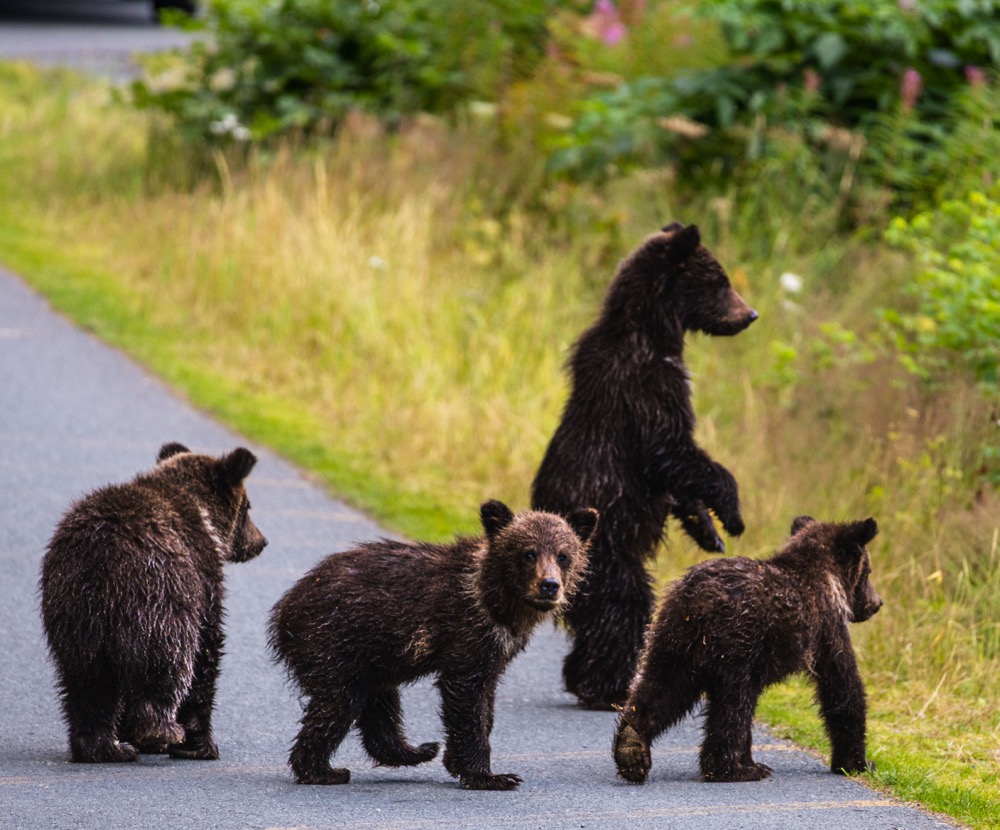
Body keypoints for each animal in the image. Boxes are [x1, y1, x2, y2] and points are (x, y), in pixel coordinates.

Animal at [39, 442, 268, 763]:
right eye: (248, 507)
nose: (261, 541)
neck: (204, 515)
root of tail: (99, 559)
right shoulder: (201, 577)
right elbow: (206, 652)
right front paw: (200, 744)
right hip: (157, 598)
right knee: (168, 662)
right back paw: (161, 731)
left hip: (73, 616)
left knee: (86, 683)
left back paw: (105, 747)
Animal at [267, 499, 597, 790]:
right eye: (528, 553)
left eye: (563, 555)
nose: (549, 585)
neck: (498, 603)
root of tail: (285, 606)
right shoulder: (466, 632)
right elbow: (466, 695)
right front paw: (491, 776)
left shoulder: (499, 647)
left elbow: (486, 697)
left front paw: (459, 759)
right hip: (332, 641)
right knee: (337, 703)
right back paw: (322, 770)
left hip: (370, 657)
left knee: (379, 707)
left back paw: (416, 750)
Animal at [531, 222, 758, 710]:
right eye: (720, 281)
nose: (750, 314)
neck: (653, 333)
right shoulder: (647, 386)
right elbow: (673, 451)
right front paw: (732, 512)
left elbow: (679, 480)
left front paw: (708, 529)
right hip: (609, 546)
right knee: (623, 605)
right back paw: (608, 685)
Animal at [613, 516, 883, 784]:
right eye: (868, 571)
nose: (877, 602)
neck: (827, 579)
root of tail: (696, 599)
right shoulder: (827, 628)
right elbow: (842, 685)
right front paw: (858, 762)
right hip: (738, 645)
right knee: (734, 703)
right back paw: (738, 768)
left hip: (673, 639)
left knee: (662, 686)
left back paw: (632, 748)